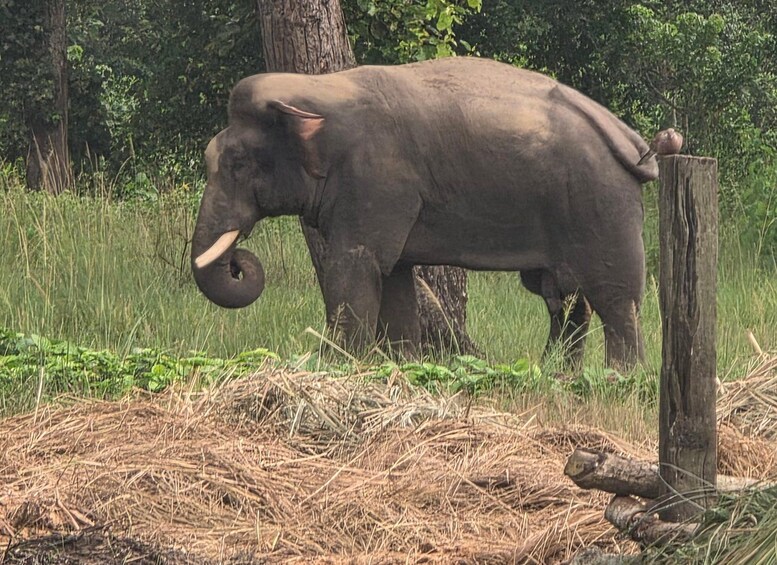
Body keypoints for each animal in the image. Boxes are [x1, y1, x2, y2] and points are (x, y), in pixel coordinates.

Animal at [190, 57, 658, 368]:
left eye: (238, 163)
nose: (238, 261)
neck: (319, 89)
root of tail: (632, 142)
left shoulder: (376, 179)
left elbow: (355, 264)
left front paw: (330, 364)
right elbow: (395, 276)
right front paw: (402, 365)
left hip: (600, 206)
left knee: (615, 299)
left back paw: (620, 379)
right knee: (564, 299)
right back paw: (556, 373)